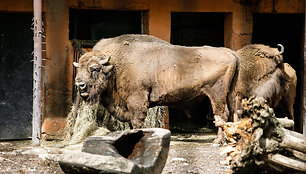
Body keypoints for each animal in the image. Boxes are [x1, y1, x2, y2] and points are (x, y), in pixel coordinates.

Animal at [73, 34, 238, 142]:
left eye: (94, 69)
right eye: (78, 68)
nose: (79, 85)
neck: (115, 65)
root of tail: (230, 52)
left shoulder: (137, 100)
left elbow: (136, 121)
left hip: (216, 94)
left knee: (221, 115)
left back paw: (217, 141)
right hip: (228, 95)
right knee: (230, 113)